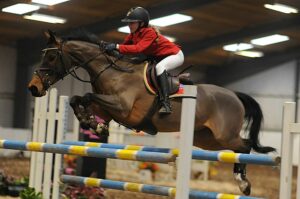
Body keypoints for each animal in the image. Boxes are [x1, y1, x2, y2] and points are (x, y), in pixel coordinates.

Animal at [27, 30, 276, 195]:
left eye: (51, 57)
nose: (33, 88)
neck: (112, 72)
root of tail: (234, 95)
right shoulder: (108, 108)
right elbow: (78, 100)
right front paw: (94, 124)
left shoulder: (123, 108)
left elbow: (87, 96)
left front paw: (94, 124)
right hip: (207, 139)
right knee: (237, 148)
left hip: (225, 135)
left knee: (244, 146)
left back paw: (243, 183)